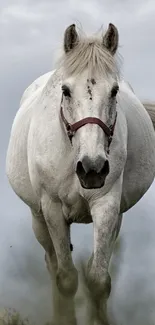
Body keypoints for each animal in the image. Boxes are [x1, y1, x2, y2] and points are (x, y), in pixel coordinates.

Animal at [6, 23, 155, 324]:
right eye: (65, 91)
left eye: (114, 91)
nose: (92, 168)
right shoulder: (52, 208)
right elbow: (65, 278)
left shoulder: (107, 206)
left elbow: (98, 280)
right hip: (38, 219)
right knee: (53, 265)